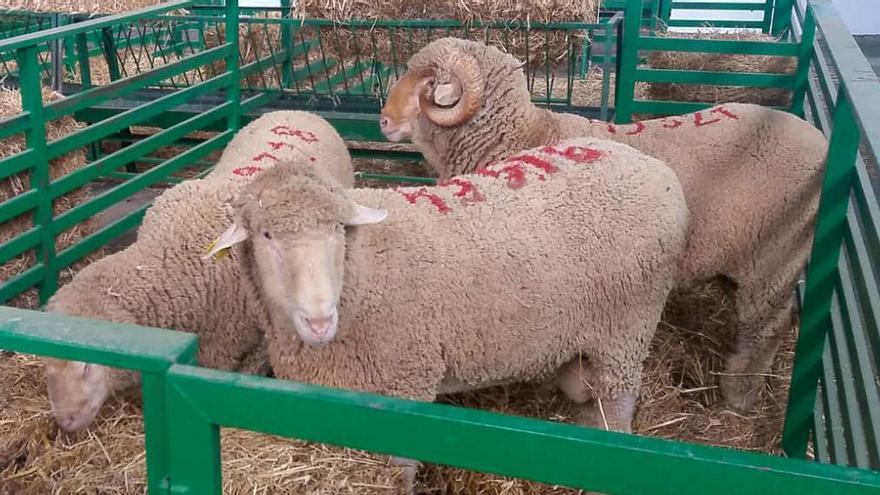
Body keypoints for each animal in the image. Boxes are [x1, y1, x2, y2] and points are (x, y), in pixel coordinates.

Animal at [380, 36, 832, 412]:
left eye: (430, 83)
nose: (383, 121)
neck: (526, 133)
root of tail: (819, 140)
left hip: (773, 260)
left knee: (768, 327)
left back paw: (738, 396)